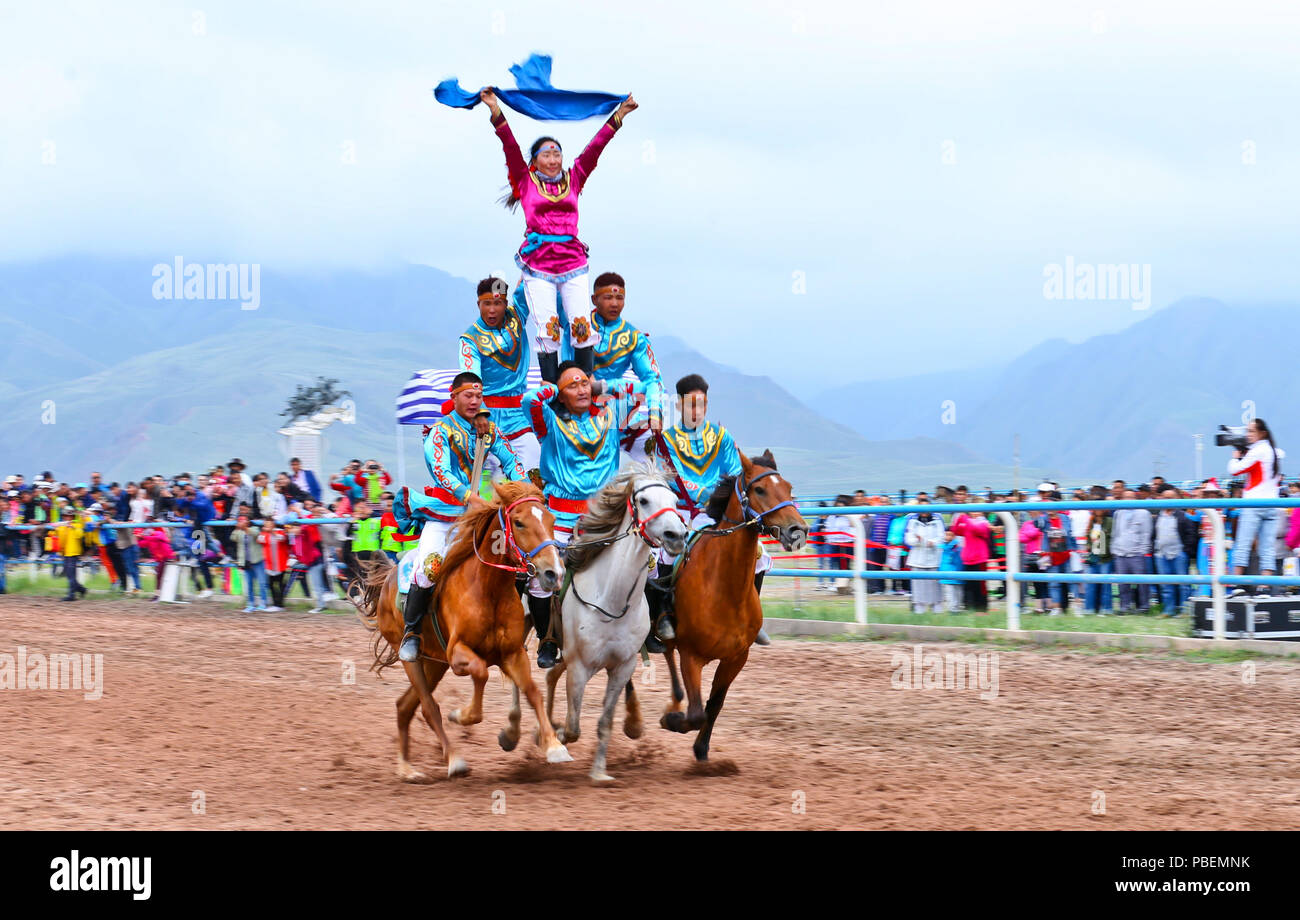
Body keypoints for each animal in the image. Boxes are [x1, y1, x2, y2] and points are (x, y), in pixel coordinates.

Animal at [361, 478, 574, 779]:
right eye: (519, 523)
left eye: (552, 519)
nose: (554, 572)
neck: (489, 589)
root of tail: (389, 578)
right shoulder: (458, 653)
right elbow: (481, 672)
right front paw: (461, 715)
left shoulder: (513, 654)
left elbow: (533, 691)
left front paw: (555, 746)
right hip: (412, 659)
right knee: (428, 707)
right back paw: (453, 759)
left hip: (433, 663)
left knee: (405, 706)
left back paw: (406, 768)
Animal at [543, 462, 691, 779]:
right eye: (644, 500)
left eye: (675, 501)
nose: (676, 536)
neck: (609, 598)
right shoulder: (580, 667)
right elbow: (572, 727)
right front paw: (558, 739)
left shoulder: (622, 667)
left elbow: (604, 722)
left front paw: (599, 772)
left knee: (550, 677)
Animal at [665, 452, 806, 764]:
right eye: (760, 490)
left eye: (789, 487)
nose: (798, 530)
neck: (723, 590)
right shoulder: (690, 655)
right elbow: (696, 712)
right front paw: (671, 721)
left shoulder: (736, 657)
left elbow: (714, 705)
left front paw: (701, 749)